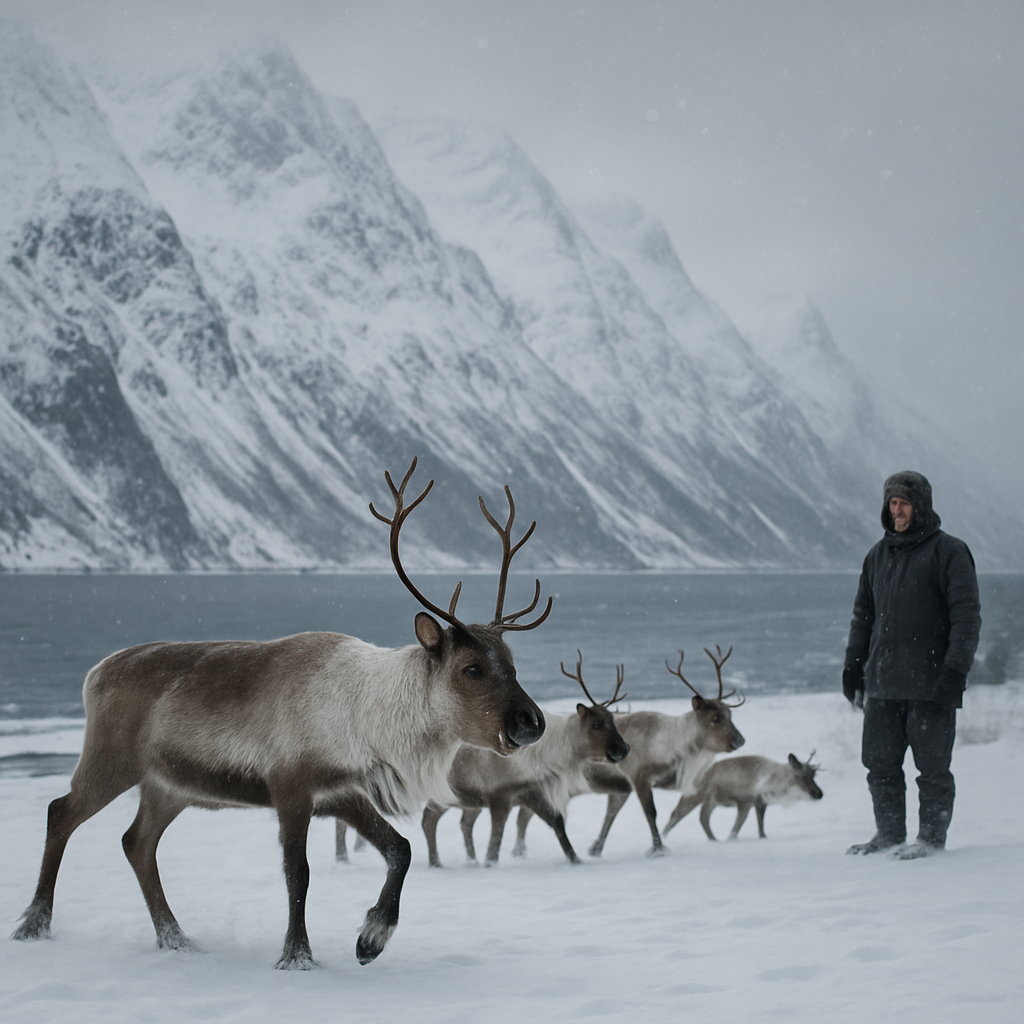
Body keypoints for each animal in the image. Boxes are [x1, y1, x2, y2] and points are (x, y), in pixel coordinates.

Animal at [10, 458, 551, 971]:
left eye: (512, 663)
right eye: (472, 668)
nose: (532, 722)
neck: (371, 719)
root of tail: (94, 674)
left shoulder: (343, 793)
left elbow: (402, 848)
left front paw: (370, 939)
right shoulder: (291, 786)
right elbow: (299, 873)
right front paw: (298, 955)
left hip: (169, 786)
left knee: (136, 842)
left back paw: (176, 938)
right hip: (111, 760)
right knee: (61, 812)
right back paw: (34, 925)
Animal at [420, 652, 630, 867]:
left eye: (613, 721)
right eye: (597, 725)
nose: (623, 749)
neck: (547, 757)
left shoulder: (532, 790)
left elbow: (557, 823)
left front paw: (576, 859)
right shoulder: (499, 794)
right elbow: (496, 840)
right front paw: (490, 864)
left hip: (469, 800)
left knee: (463, 823)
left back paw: (471, 861)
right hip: (445, 793)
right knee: (428, 819)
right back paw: (436, 862)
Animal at [516, 645, 745, 859]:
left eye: (730, 713)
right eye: (715, 718)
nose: (740, 740)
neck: (671, 746)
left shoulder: (628, 787)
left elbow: (614, 815)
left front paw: (596, 849)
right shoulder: (638, 775)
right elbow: (651, 812)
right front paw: (658, 848)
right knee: (524, 815)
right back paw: (519, 852)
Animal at [662, 752, 823, 840]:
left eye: (813, 775)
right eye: (798, 776)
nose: (818, 793)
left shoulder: (759, 802)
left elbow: (757, 826)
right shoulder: (745, 801)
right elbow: (739, 825)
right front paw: (731, 838)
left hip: (710, 800)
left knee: (701, 817)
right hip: (698, 796)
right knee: (680, 814)